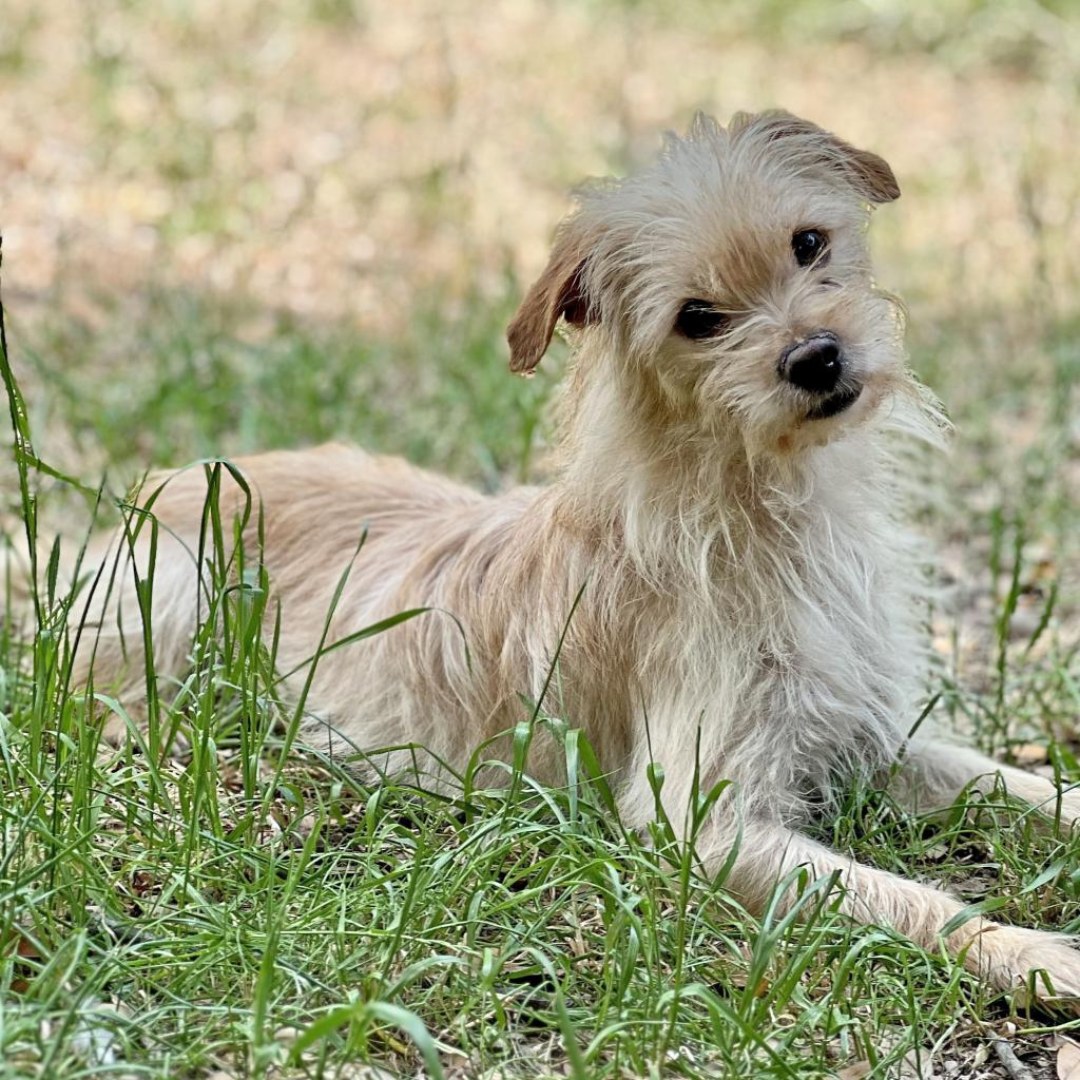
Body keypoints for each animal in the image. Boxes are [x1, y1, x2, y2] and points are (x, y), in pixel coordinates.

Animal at [71, 109, 1080, 1002]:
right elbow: (916, 903)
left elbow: (1023, 785)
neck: (765, 504)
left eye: (809, 244)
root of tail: (168, 482)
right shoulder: (700, 823)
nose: (817, 357)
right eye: (698, 318)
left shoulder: (871, 737)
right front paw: (1029, 955)